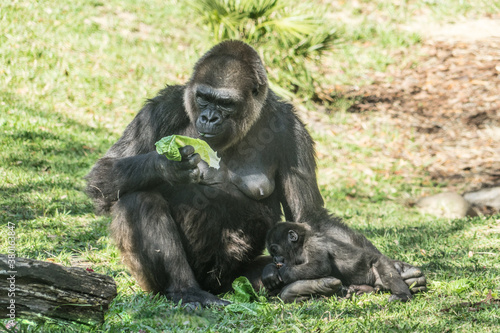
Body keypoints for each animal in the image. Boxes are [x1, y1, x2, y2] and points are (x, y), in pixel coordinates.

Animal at [264, 219, 416, 302]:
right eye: (272, 254)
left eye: (274, 250)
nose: (275, 259)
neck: (301, 243)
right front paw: (270, 272)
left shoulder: (313, 243)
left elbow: (320, 266)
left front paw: (282, 272)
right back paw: (358, 290)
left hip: (380, 261)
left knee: (389, 275)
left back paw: (402, 295)